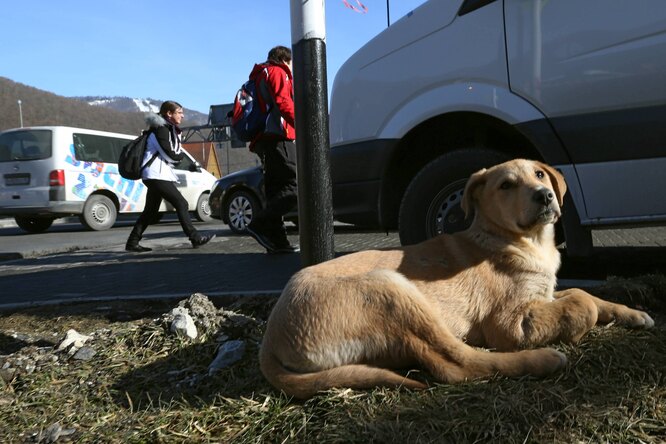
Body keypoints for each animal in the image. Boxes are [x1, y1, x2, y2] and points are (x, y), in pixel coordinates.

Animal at [256, 159, 652, 398]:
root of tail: (270, 339)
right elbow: (583, 302)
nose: (545, 196)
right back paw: (542, 360)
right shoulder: (509, 323)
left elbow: (587, 294)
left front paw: (633, 313)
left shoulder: (543, 295)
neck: (522, 241)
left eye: (539, 175)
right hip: (394, 289)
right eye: (506, 186)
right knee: (458, 364)